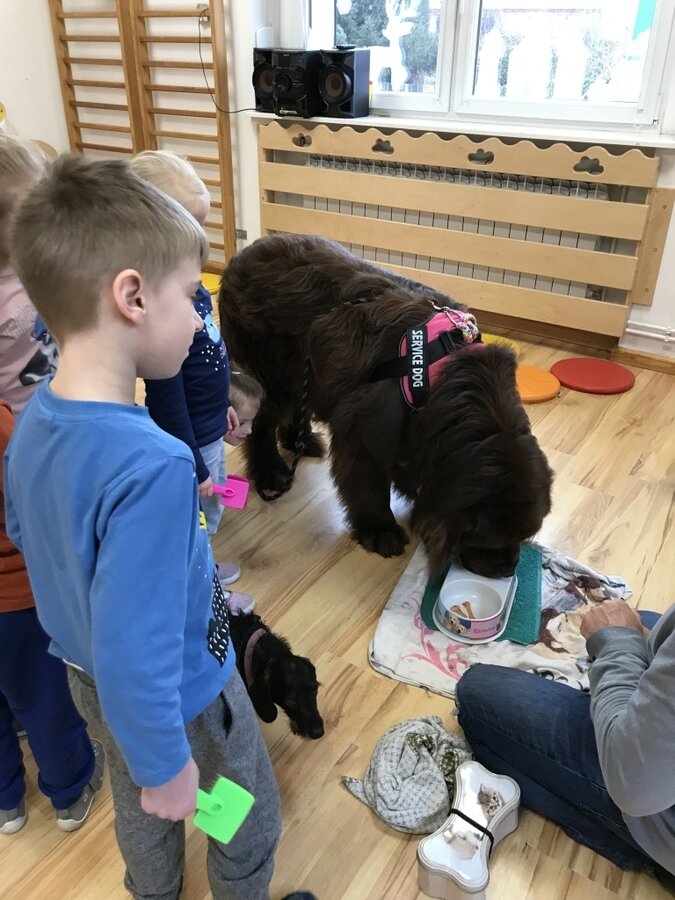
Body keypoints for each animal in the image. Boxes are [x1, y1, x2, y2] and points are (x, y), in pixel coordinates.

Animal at [219, 234, 553, 578]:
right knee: (262, 424)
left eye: (525, 536)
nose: (509, 568)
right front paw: (380, 529)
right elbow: (368, 486)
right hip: (270, 373)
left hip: (304, 368)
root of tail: (245, 252)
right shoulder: (362, 431)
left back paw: (302, 440)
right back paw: (270, 470)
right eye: (490, 540)